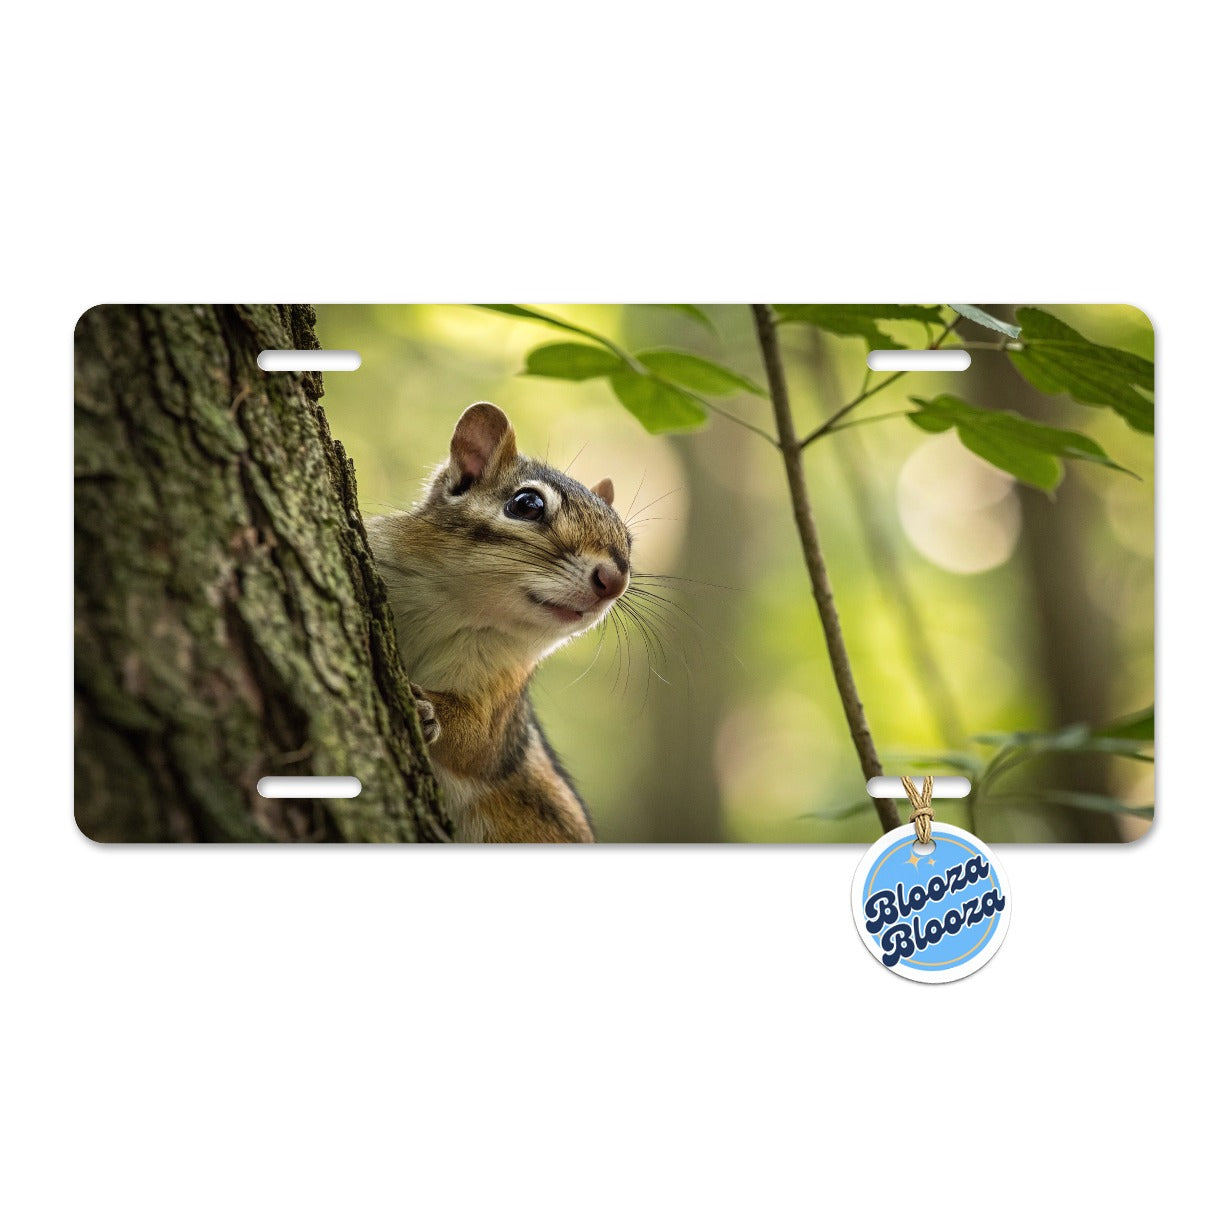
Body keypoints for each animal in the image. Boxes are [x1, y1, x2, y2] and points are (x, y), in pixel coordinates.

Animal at [366, 402, 631, 843]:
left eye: (628, 538)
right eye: (526, 504)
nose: (614, 581)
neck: (457, 606)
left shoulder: (502, 695)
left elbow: (477, 741)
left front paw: (431, 711)